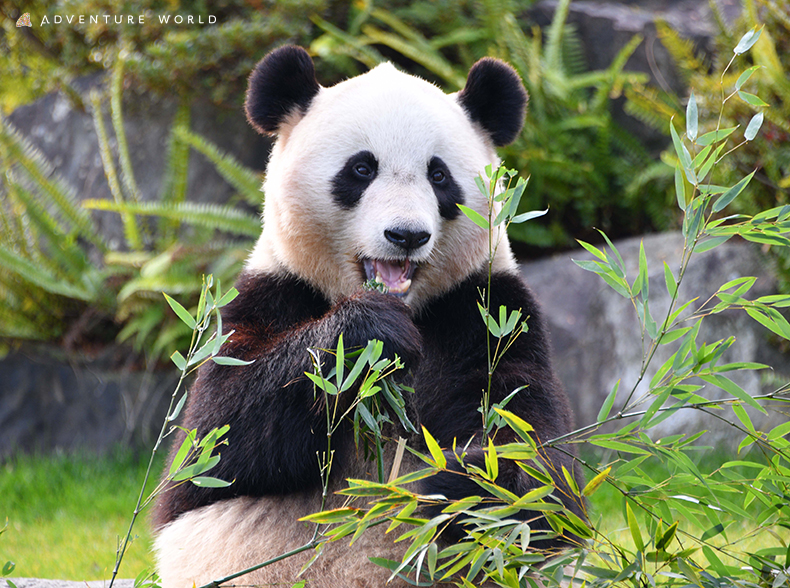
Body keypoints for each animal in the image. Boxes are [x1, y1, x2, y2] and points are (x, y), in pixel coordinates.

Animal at [155, 46, 588, 588]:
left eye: (439, 175)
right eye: (361, 169)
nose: (406, 235)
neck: (410, 306)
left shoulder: (488, 314)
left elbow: (540, 471)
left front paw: (461, 479)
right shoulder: (273, 294)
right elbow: (212, 445)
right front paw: (369, 331)